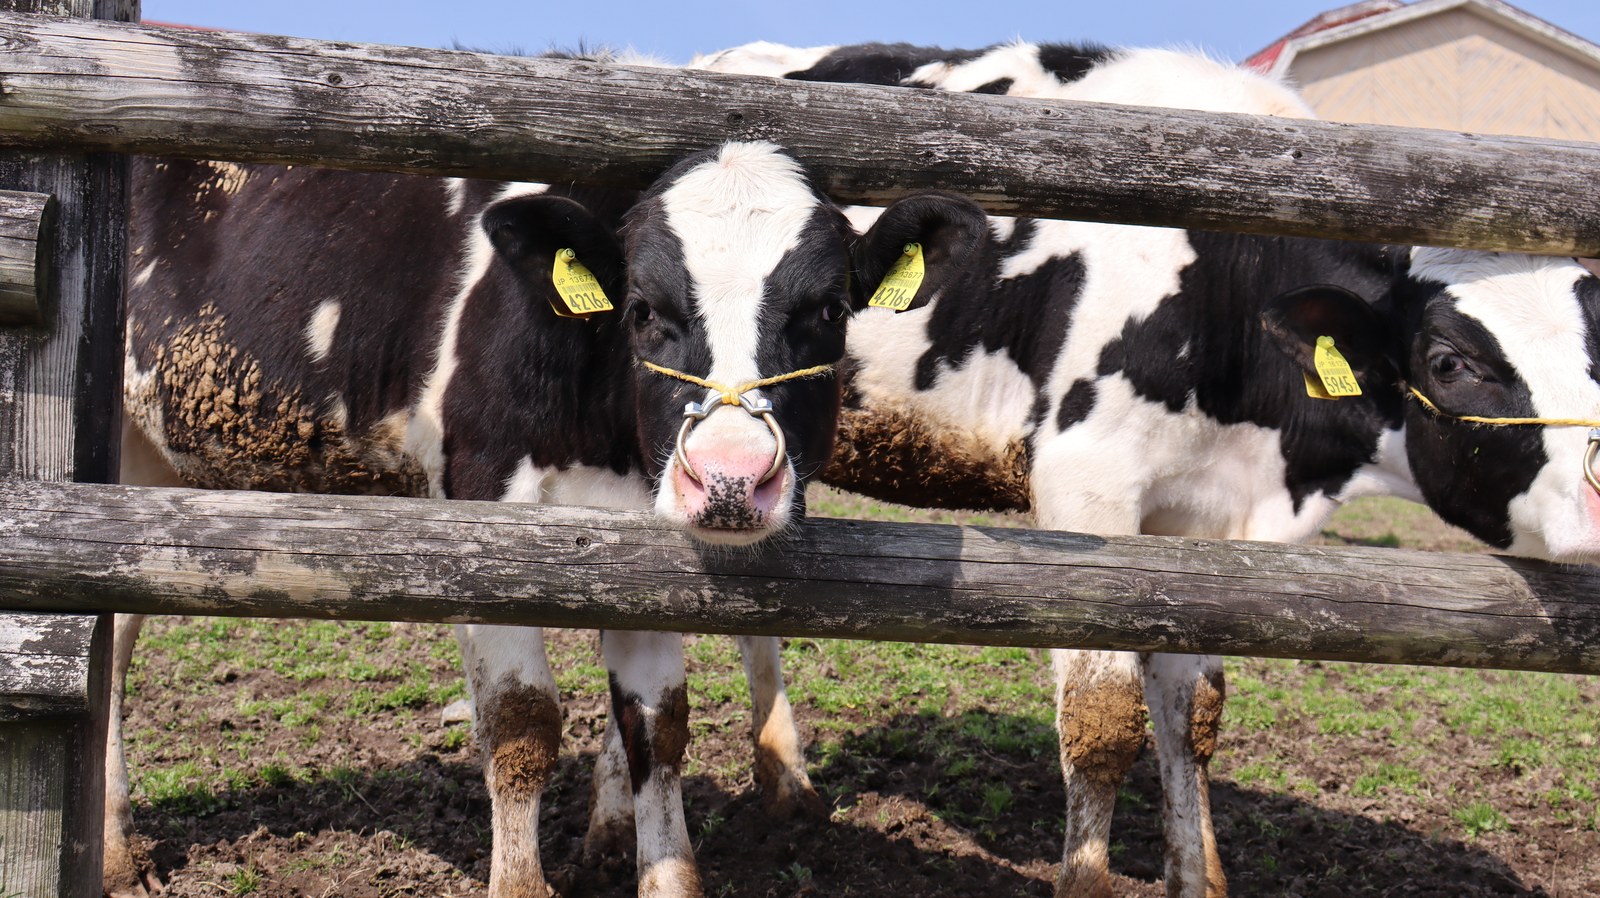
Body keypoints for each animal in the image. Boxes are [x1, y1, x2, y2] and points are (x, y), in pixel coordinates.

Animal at [107, 142, 987, 898]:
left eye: (831, 309)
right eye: (642, 308)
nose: (731, 476)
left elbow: (656, 727)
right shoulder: (480, 510)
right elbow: (523, 720)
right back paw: (116, 854)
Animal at [693, 40, 1600, 898]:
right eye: (1449, 361)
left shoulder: (1206, 526)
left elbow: (1191, 712)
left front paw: (1196, 875)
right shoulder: (1084, 483)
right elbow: (1104, 721)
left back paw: (784, 781)